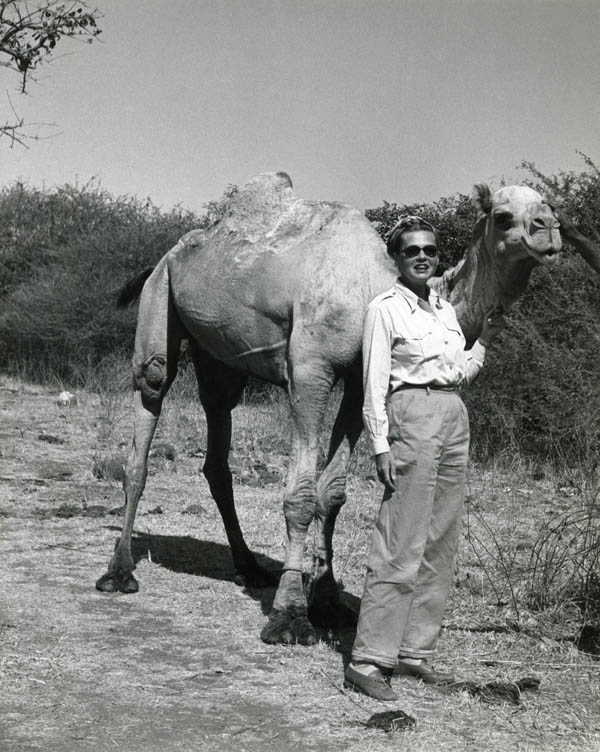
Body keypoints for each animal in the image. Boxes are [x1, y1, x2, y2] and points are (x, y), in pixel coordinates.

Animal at [97, 172, 564, 648]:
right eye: (503, 215)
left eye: (550, 206)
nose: (548, 230)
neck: (373, 287)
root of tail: (168, 253)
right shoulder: (310, 369)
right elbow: (301, 495)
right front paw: (289, 615)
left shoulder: (362, 378)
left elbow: (333, 493)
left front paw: (328, 603)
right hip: (160, 295)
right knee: (150, 397)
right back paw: (119, 571)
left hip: (218, 357)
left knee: (217, 438)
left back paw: (248, 566)